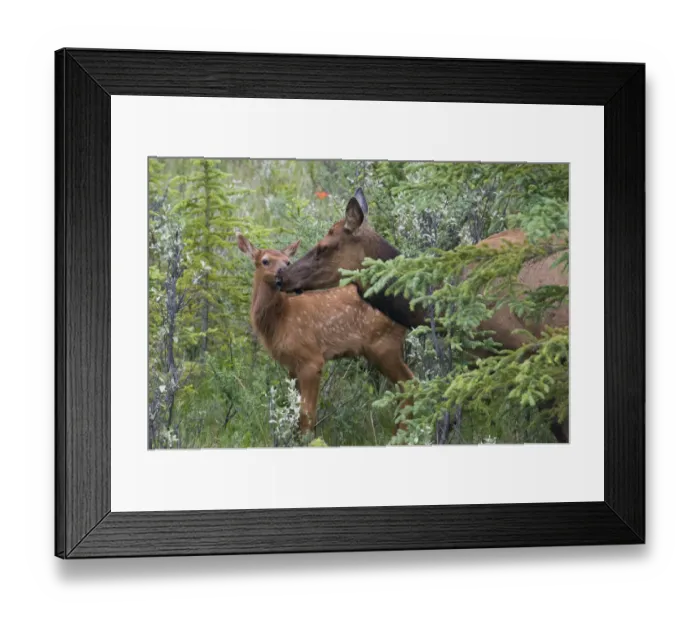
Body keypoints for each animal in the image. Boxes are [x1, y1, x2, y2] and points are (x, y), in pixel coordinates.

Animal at [236, 233, 413, 438]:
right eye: (265, 261)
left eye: (288, 261)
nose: (281, 273)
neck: (281, 320)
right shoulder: (291, 366)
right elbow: (294, 410)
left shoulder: (311, 358)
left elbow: (307, 414)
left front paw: (308, 440)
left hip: (384, 345)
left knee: (411, 383)